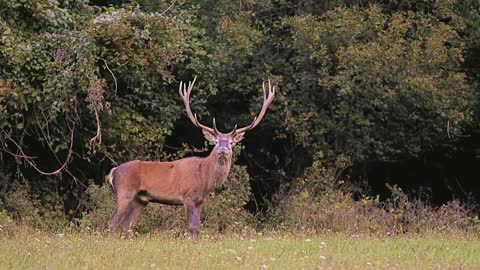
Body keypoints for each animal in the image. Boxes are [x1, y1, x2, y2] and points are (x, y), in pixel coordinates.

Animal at [108, 77, 274, 239]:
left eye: (231, 142)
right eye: (216, 142)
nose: (222, 149)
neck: (205, 178)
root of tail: (113, 171)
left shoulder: (200, 200)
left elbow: (198, 229)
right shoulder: (188, 196)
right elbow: (192, 228)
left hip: (141, 199)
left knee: (126, 225)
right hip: (125, 191)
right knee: (113, 223)